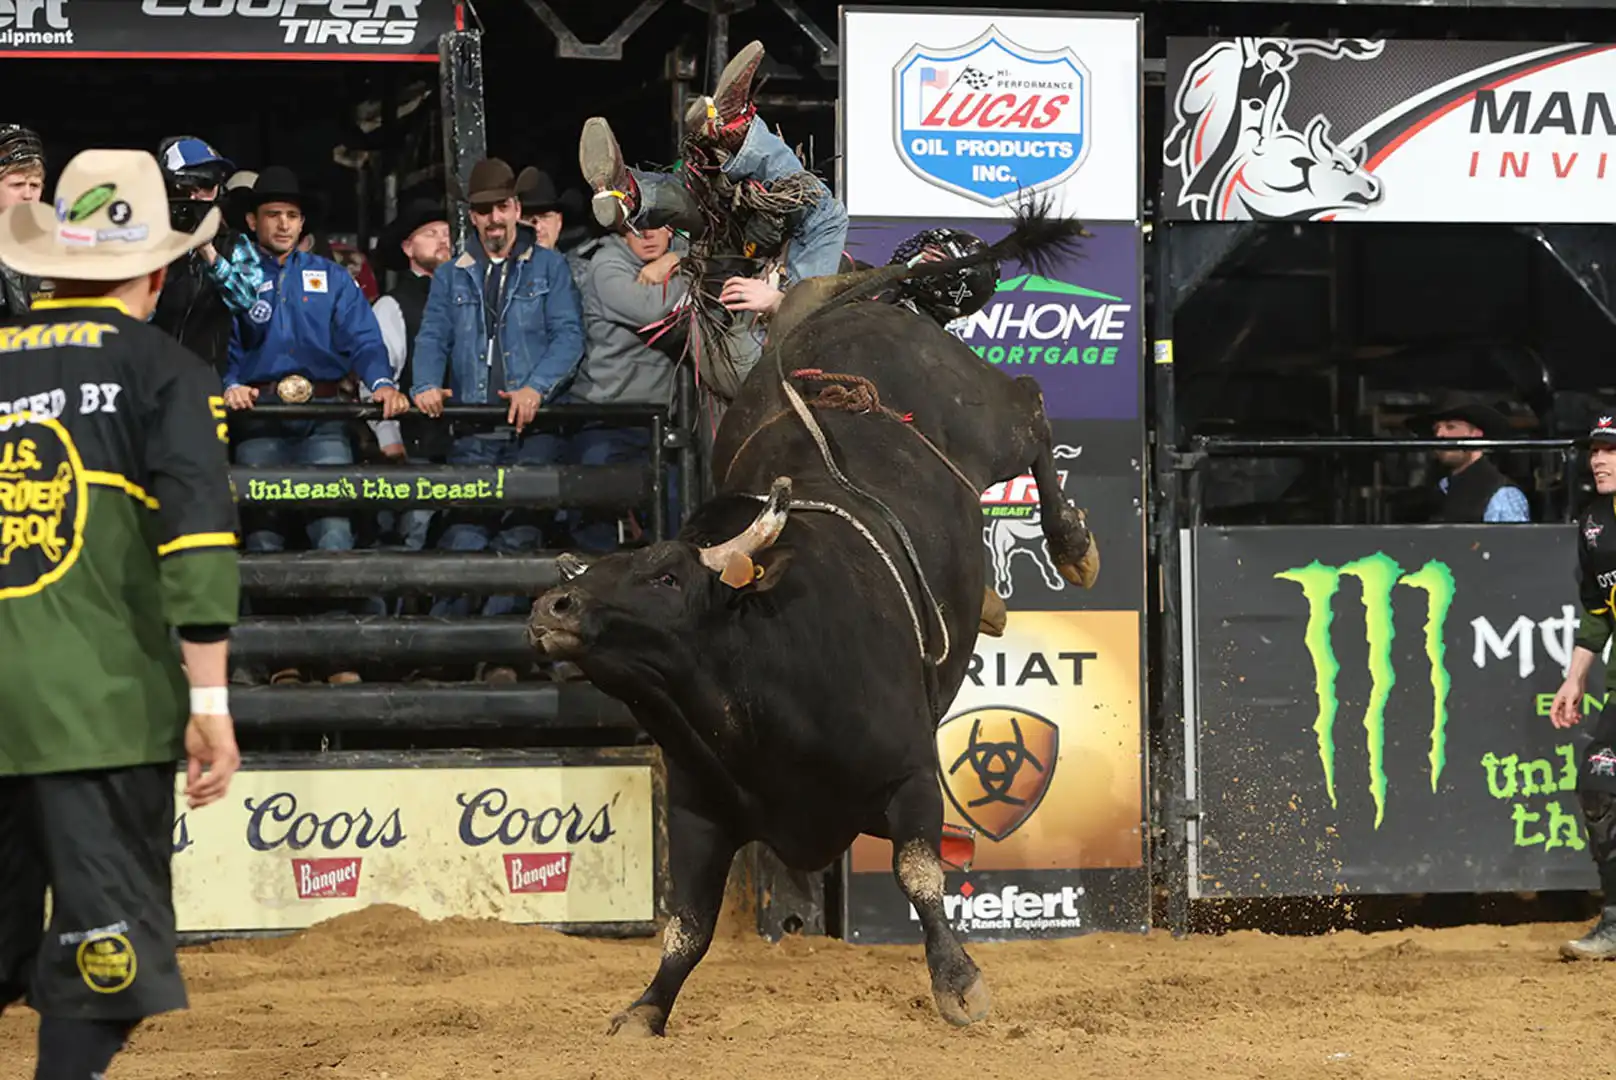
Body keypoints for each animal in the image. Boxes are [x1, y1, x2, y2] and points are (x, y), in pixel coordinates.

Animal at [527, 197, 1097, 1038]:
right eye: (595, 573)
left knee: (1029, 403)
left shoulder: (911, 774)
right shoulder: (698, 813)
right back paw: (996, 603)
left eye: (666, 575)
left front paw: (959, 983)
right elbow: (687, 926)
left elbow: (920, 874)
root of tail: (860, 296)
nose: (551, 606)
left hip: (984, 419)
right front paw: (646, 1008)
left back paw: (1074, 545)